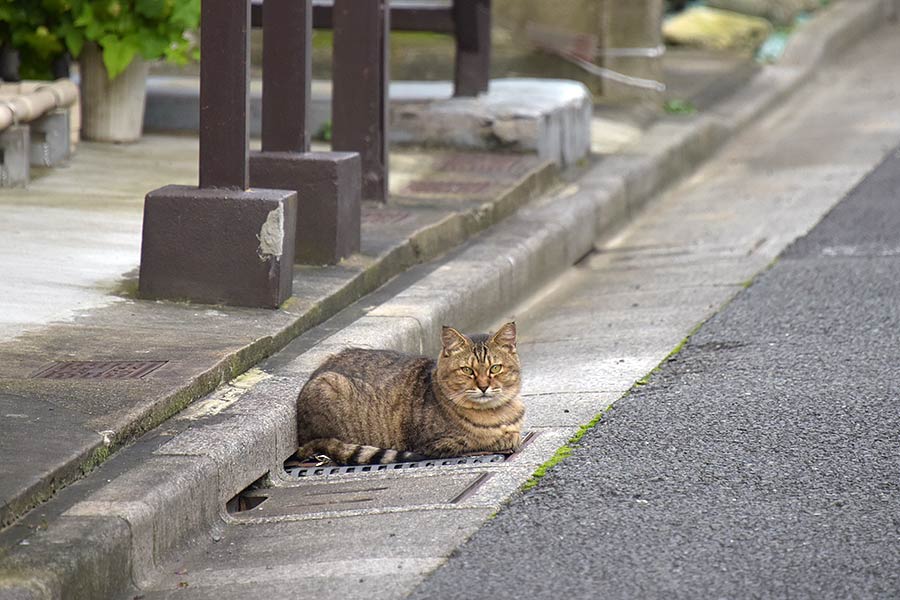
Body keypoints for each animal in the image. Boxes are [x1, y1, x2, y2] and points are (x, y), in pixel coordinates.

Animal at [298, 324, 520, 464]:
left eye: (495, 368)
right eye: (467, 370)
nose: (483, 386)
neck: (497, 412)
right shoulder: (436, 444)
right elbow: (482, 441)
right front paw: (503, 438)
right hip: (329, 386)